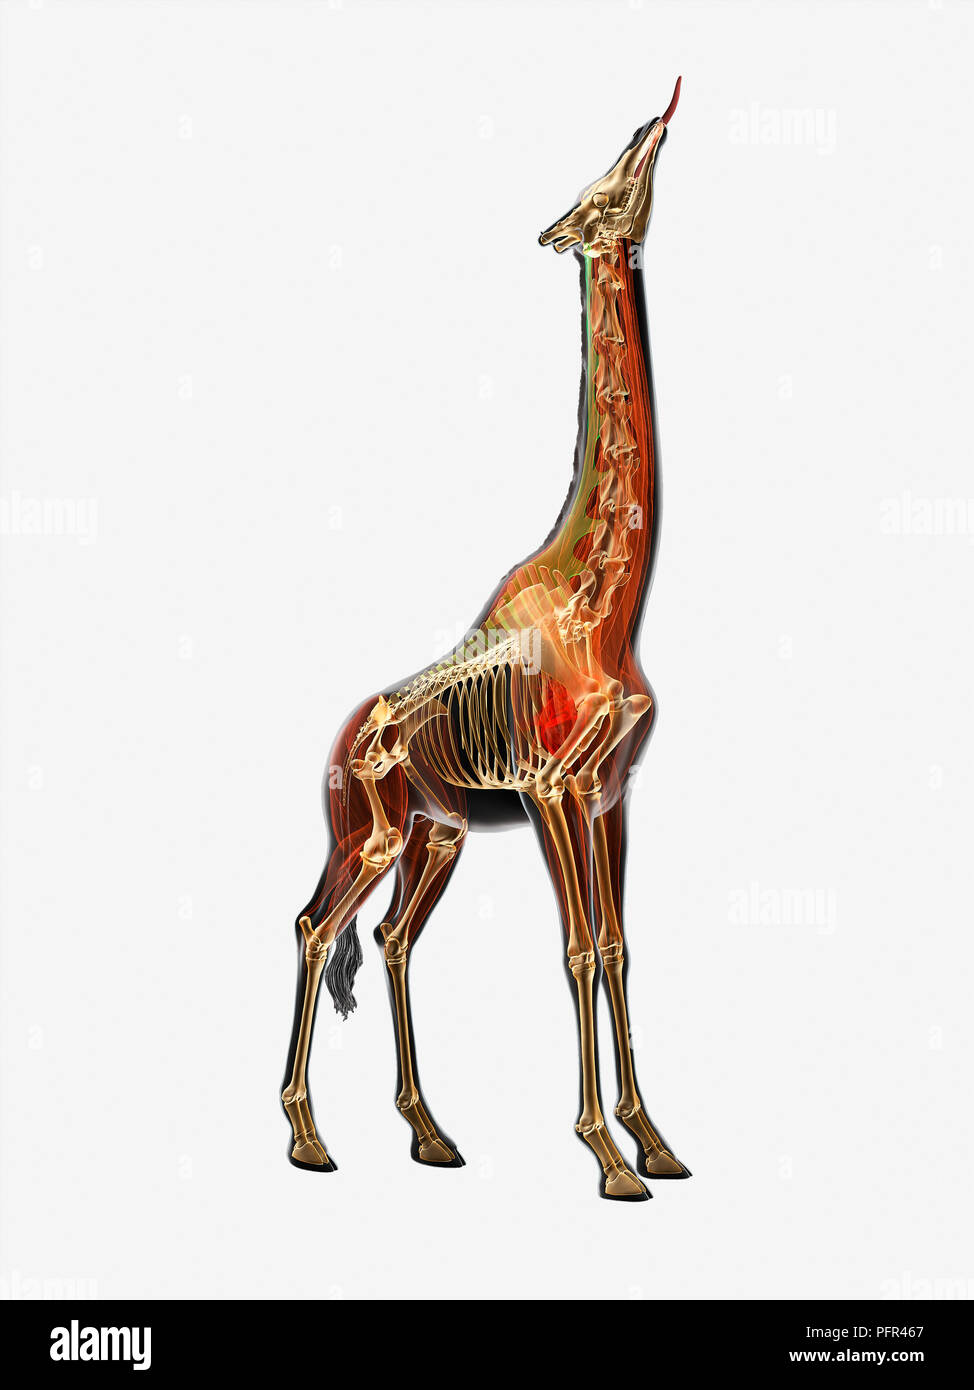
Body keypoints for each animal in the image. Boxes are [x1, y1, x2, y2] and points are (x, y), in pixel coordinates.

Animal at [282, 78, 690, 1202]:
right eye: (602, 187)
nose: (654, 118)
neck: (610, 610)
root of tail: (339, 743)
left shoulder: (611, 790)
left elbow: (620, 944)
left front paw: (657, 1142)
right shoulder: (553, 787)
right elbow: (578, 950)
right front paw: (607, 1157)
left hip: (439, 832)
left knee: (385, 938)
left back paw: (430, 1132)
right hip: (369, 829)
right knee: (313, 926)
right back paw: (307, 1138)